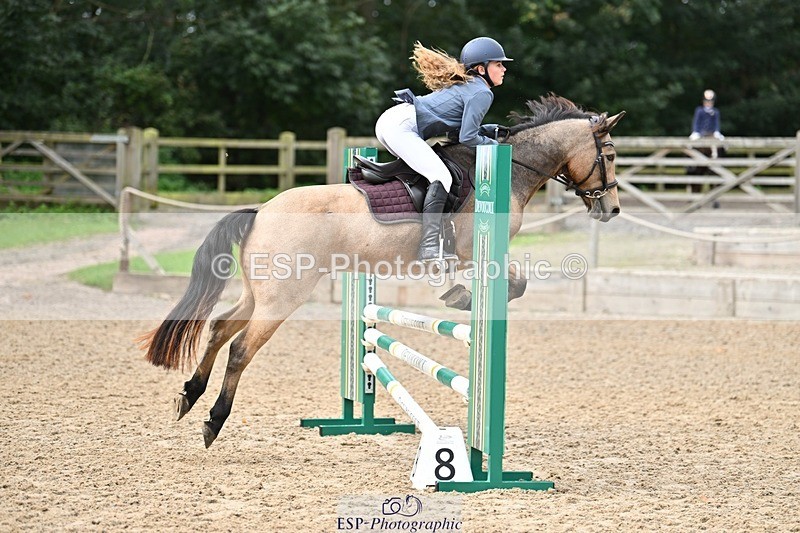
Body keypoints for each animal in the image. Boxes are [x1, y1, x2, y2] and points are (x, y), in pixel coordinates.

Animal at [140, 94, 625, 448]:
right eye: (611, 154)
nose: (612, 209)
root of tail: (261, 211)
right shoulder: (477, 251)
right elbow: (516, 283)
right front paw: (462, 297)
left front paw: (458, 296)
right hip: (284, 297)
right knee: (241, 348)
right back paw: (213, 421)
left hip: (258, 292)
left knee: (220, 327)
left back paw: (189, 395)